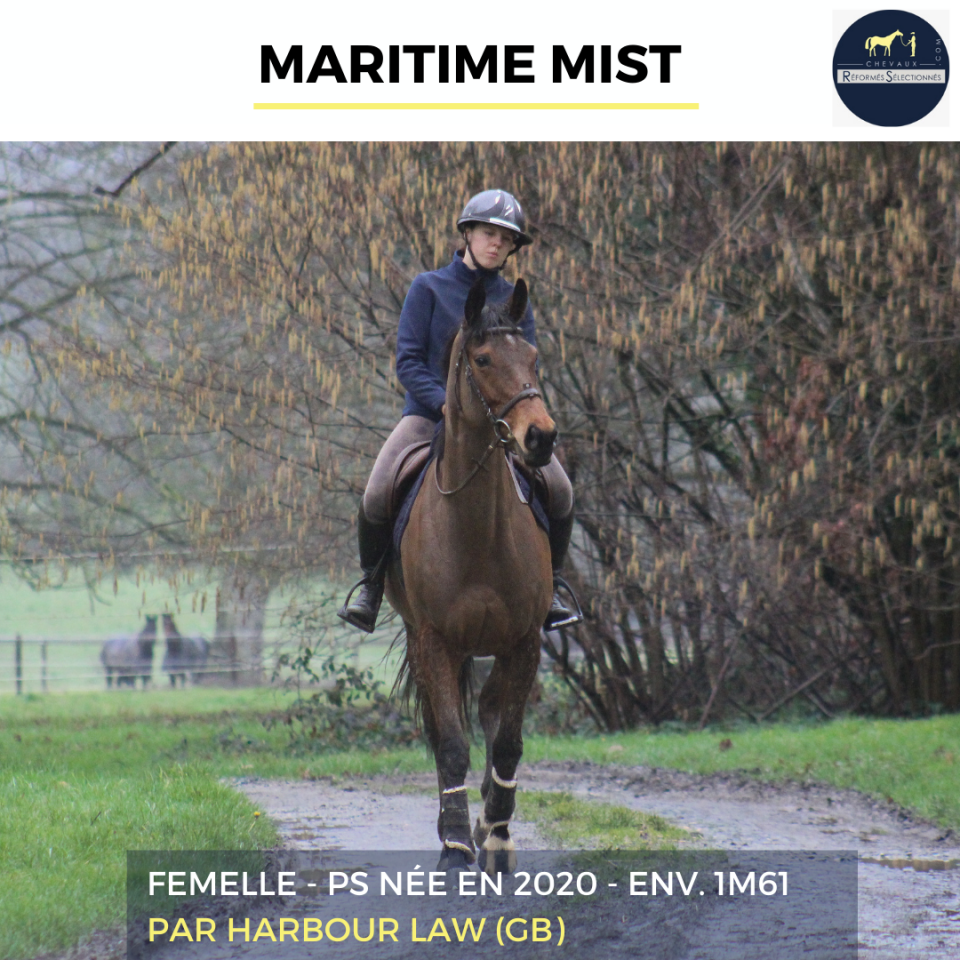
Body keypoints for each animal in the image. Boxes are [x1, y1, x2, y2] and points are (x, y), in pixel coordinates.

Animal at [385, 278, 556, 872]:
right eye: (482, 359)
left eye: (533, 356)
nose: (540, 438)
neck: (476, 527)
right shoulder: (435, 641)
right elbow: (452, 744)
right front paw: (456, 846)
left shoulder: (524, 641)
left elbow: (507, 741)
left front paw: (497, 836)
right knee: (446, 731)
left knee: (488, 710)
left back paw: (486, 819)